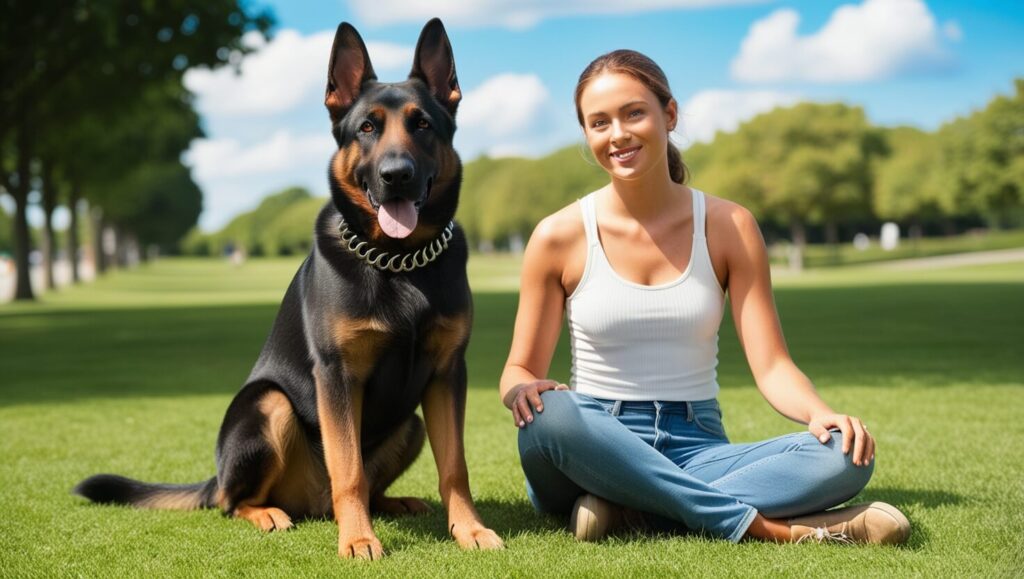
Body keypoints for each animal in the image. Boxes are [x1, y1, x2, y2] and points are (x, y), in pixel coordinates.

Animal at [73, 18, 503, 557]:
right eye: (367, 128)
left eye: (422, 124)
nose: (396, 176)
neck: (399, 263)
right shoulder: (337, 375)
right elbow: (348, 470)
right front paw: (359, 539)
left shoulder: (447, 373)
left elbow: (455, 468)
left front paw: (469, 529)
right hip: (268, 405)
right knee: (233, 502)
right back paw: (271, 514)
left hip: (412, 422)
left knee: (368, 484)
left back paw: (394, 503)